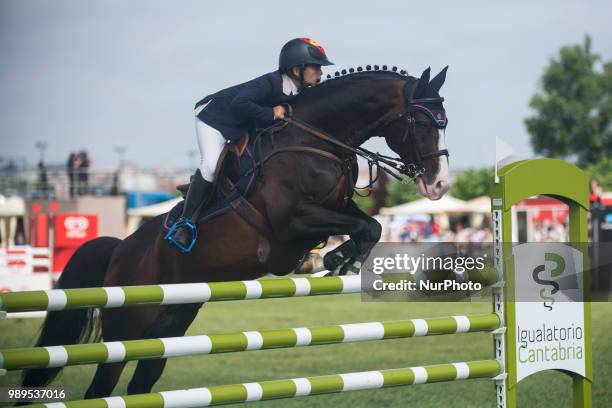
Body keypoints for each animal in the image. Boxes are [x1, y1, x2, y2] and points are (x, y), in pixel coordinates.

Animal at [20, 65, 450, 400]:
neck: (315, 139)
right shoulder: (290, 223)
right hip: (127, 330)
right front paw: (336, 258)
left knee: (141, 385)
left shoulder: (336, 208)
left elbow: (370, 224)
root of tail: (119, 249)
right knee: (101, 389)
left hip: (170, 326)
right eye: (422, 123)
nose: (439, 185)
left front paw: (338, 259)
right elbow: (365, 224)